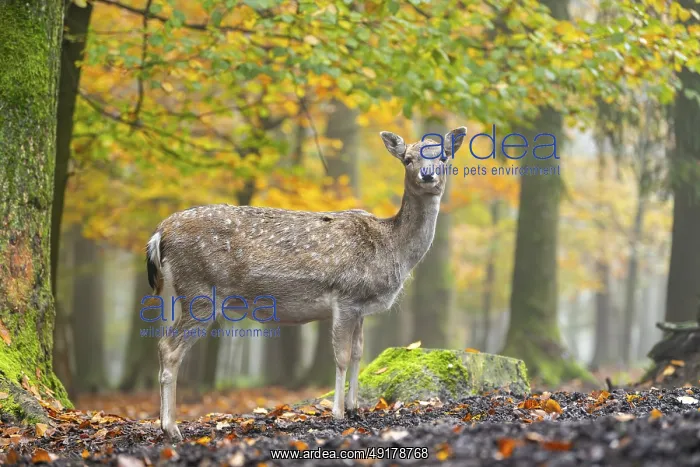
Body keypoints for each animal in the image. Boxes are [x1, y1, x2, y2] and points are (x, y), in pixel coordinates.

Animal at [145, 127, 467, 442]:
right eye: (408, 159)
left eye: (444, 156)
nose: (428, 175)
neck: (391, 248)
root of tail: (159, 233)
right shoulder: (346, 295)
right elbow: (342, 356)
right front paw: (337, 413)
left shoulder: (361, 308)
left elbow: (359, 354)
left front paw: (355, 409)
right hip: (200, 292)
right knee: (168, 347)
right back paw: (171, 428)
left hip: (183, 294)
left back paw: (166, 424)